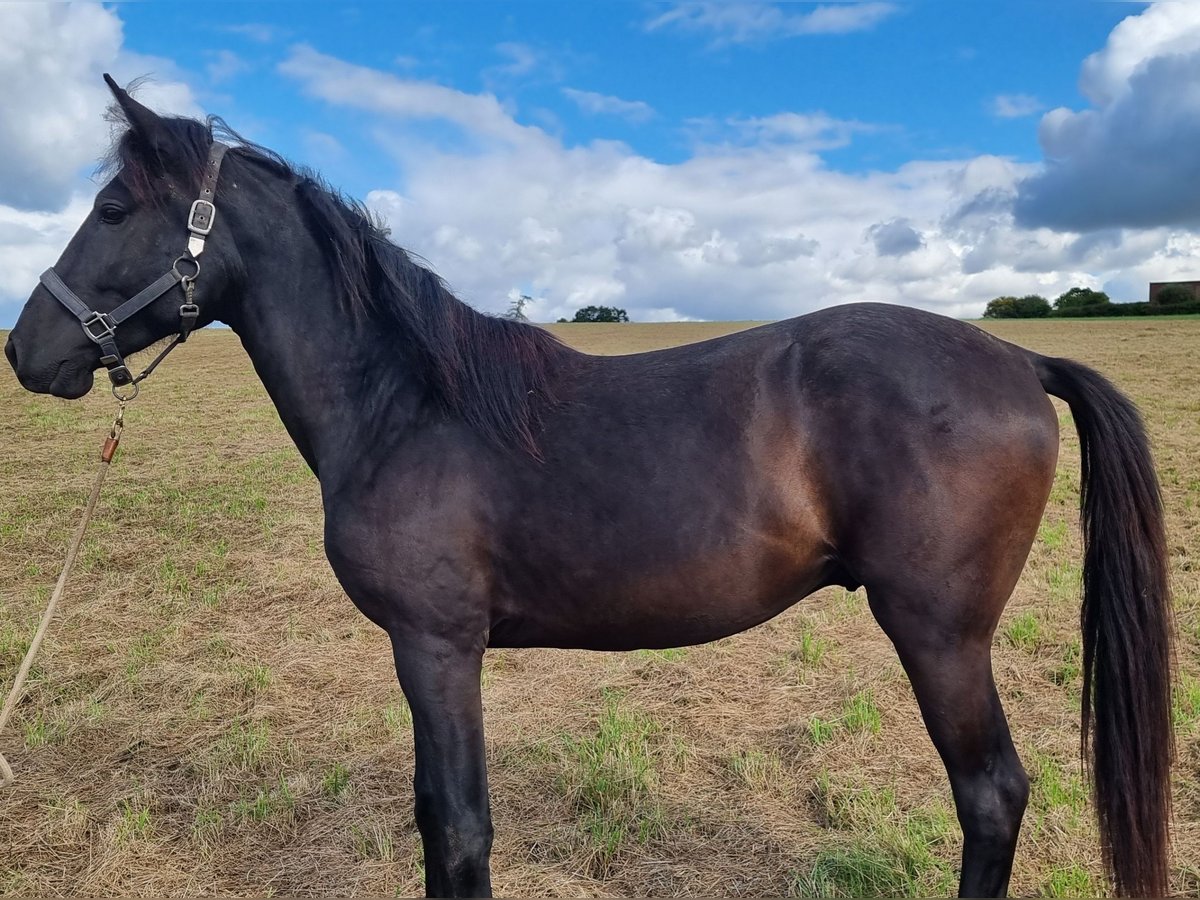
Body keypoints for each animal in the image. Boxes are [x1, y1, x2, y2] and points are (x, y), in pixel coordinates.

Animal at [2, 79, 1171, 900]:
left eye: (114, 208)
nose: (25, 350)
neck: (405, 402)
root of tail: (1018, 360)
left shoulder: (436, 645)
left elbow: (458, 828)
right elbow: (437, 816)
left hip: (939, 635)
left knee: (991, 796)